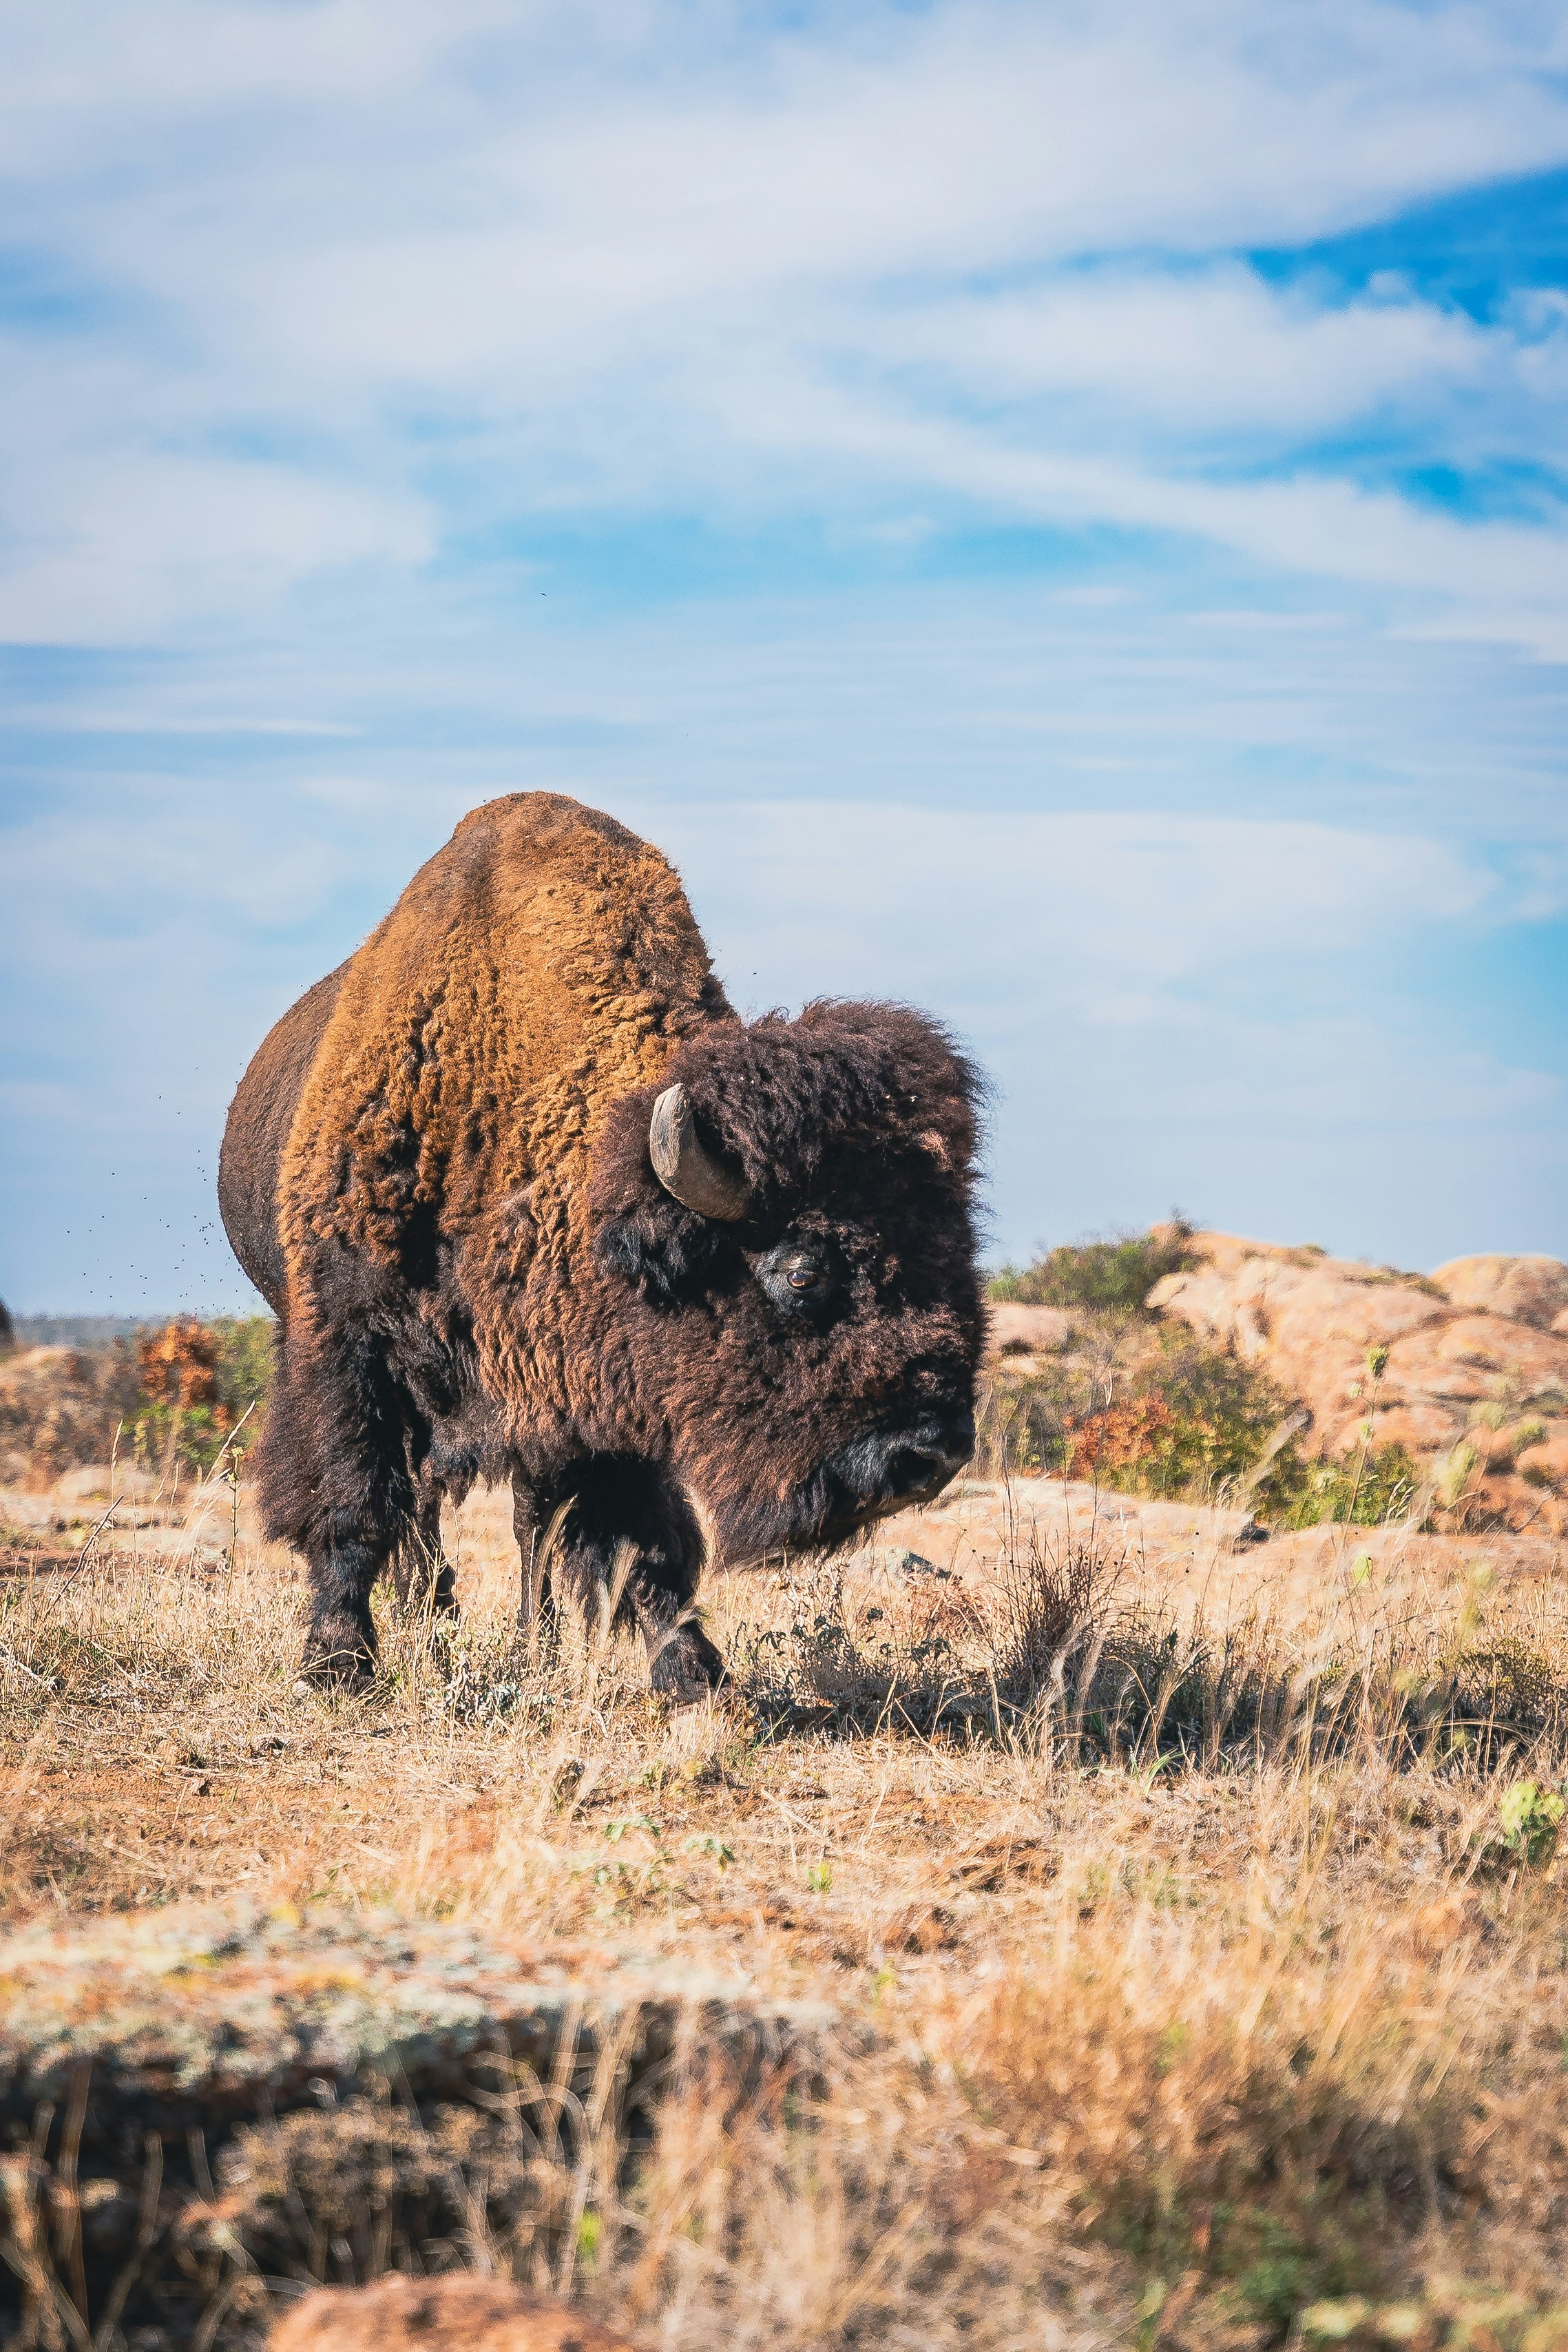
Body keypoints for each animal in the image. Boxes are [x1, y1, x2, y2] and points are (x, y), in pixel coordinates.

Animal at [219, 793, 983, 1695]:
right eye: (801, 1272)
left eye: (958, 1253)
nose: (930, 1453)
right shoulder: (345, 1339)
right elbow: (352, 1502)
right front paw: (337, 1661)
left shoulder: (602, 1389)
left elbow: (641, 1537)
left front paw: (692, 1671)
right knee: (421, 1509)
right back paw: (428, 1624)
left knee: (524, 1523)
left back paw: (526, 1641)